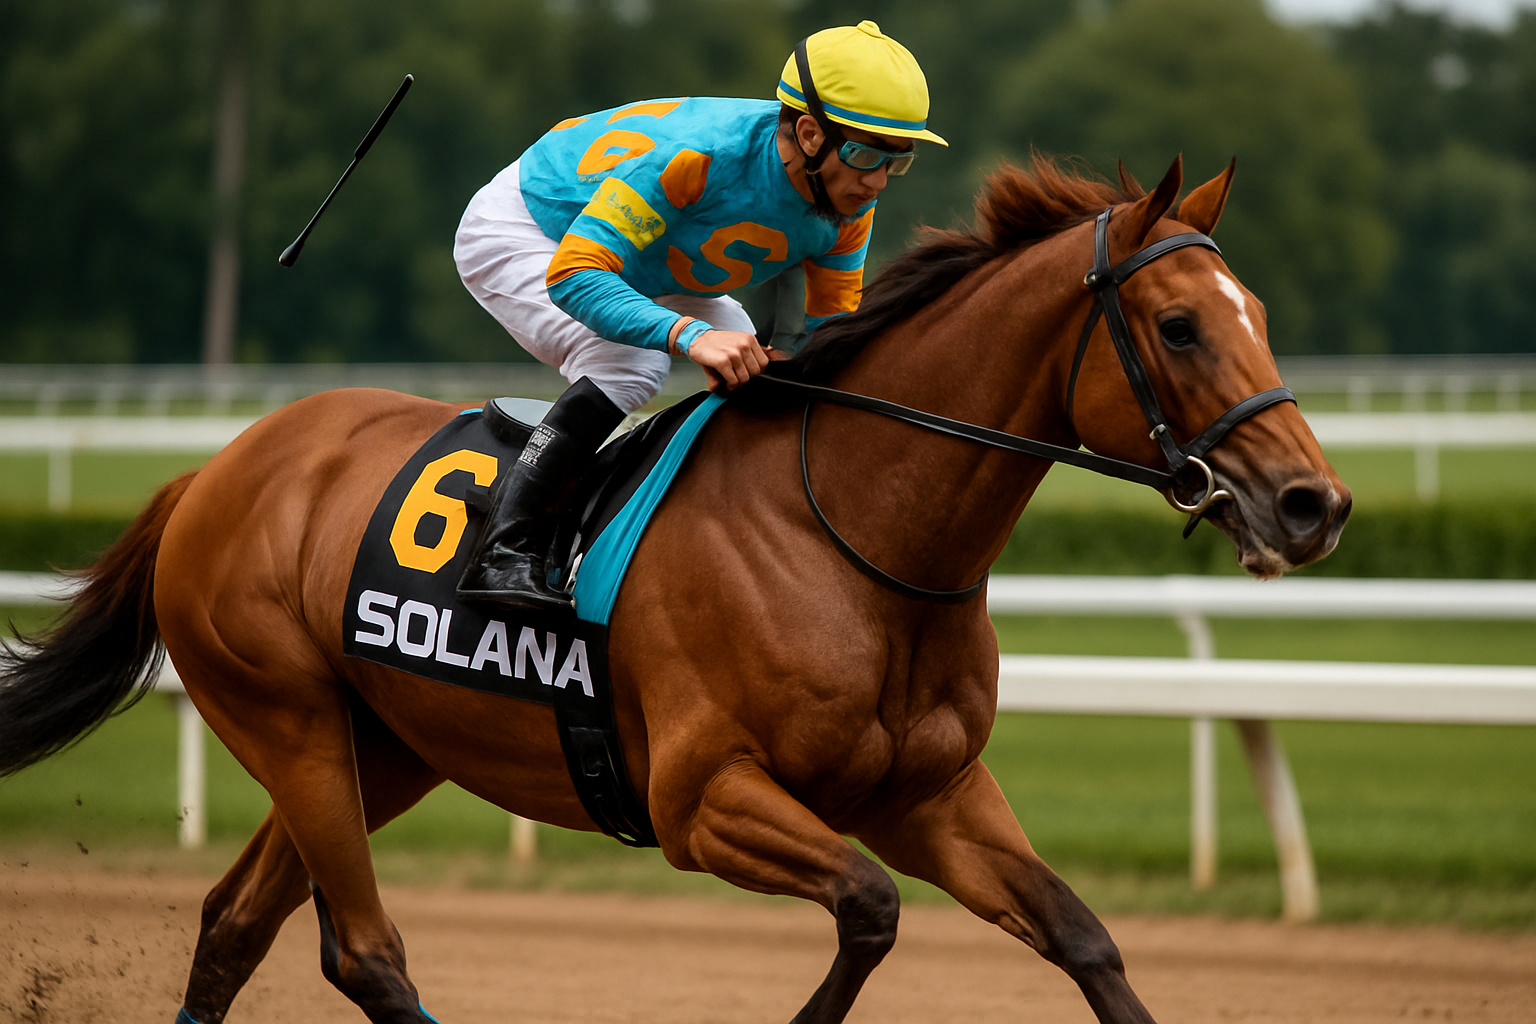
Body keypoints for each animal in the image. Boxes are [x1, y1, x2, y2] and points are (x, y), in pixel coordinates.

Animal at [0, 155, 1349, 1024]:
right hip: (285, 717)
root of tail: (216, 468)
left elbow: (1083, 938)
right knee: (369, 950)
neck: (857, 539)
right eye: (1179, 327)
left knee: (243, 927)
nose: (1313, 504)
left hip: (376, 743)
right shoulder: (703, 800)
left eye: (1255, 310)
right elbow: (869, 909)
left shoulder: (930, 794)